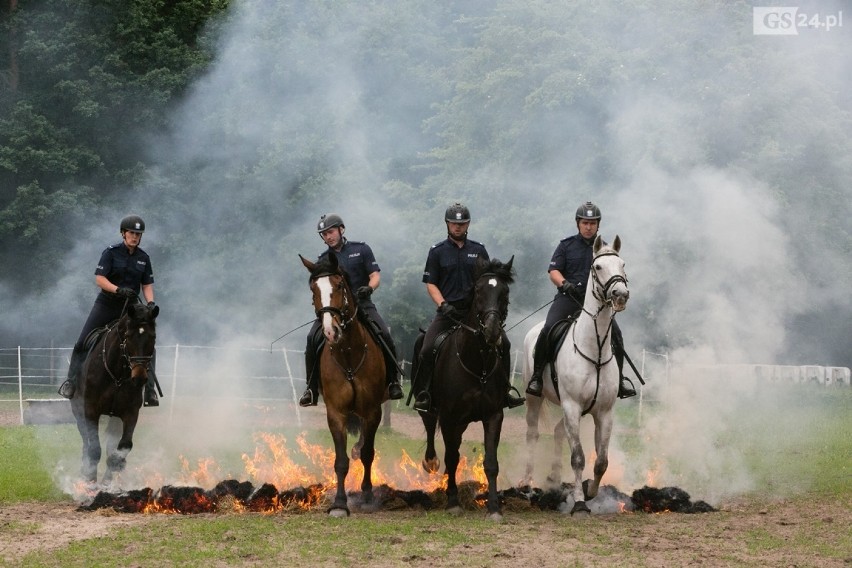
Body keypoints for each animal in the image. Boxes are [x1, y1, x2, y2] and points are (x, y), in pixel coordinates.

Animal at [70, 302, 159, 484]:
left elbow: (123, 447)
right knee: (85, 442)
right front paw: (90, 481)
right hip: (78, 412)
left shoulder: (130, 413)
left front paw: (108, 481)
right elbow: (94, 448)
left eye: (153, 337)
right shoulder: (90, 410)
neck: (117, 375)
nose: (139, 377)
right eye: (128, 336)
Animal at [296, 252, 382, 516]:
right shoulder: (336, 413)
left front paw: (367, 496)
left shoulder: (372, 411)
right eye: (313, 289)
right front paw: (340, 504)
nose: (330, 331)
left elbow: (367, 454)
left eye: (340, 286)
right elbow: (341, 461)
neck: (348, 354)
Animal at [418, 256, 516, 520]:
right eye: (479, 291)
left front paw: (494, 507)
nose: (492, 330)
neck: (477, 365)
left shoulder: (494, 415)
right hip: (433, 410)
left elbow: (491, 463)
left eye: (504, 292)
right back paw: (430, 462)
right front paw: (453, 502)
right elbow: (451, 458)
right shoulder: (449, 416)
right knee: (430, 429)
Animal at [524, 235, 628, 516]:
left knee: (559, 432)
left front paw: (590, 491)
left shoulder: (603, 412)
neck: (594, 348)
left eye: (622, 264)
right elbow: (579, 457)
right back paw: (526, 483)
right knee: (532, 435)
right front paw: (580, 503)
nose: (620, 295)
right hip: (534, 399)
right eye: (598, 267)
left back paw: (553, 478)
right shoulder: (571, 406)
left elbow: (601, 461)